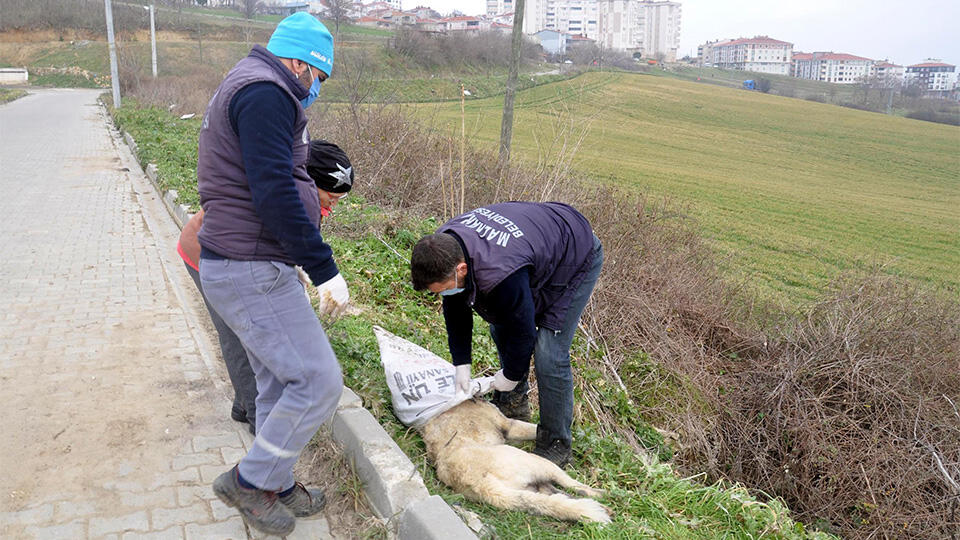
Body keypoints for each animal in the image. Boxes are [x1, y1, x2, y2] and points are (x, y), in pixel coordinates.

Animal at [418, 396, 612, 524]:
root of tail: (481, 484)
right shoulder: (510, 425)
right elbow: (534, 428)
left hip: (530, 485)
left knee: (559, 496)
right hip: (536, 462)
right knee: (574, 486)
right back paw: (604, 495)